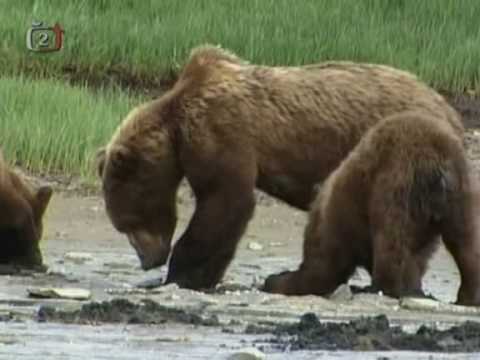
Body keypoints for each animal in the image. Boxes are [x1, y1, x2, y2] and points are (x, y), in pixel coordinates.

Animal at [94, 43, 464, 292]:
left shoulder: (222, 133)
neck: (176, 131)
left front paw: (182, 274)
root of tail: (450, 112)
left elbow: (225, 201)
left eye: (126, 222)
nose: (148, 261)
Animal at [262, 110, 480, 306]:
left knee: (391, 239)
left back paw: (382, 287)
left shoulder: (338, 224)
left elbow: (323, 267)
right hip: (461, 194)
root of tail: (439, 166)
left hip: (397, 182)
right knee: (466, 242)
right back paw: (467, 296)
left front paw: (277, 280)